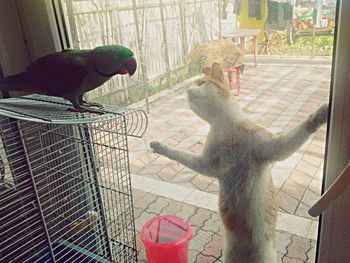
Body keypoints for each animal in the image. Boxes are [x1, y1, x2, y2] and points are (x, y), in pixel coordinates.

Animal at [150, 64, 328, 263]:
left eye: (201, 83)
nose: (187, 90)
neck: (225, 127)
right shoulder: (207, 164)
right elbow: (181, 155)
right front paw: (159, 147)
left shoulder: (274, 147)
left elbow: (300, 130)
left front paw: (321, 114)